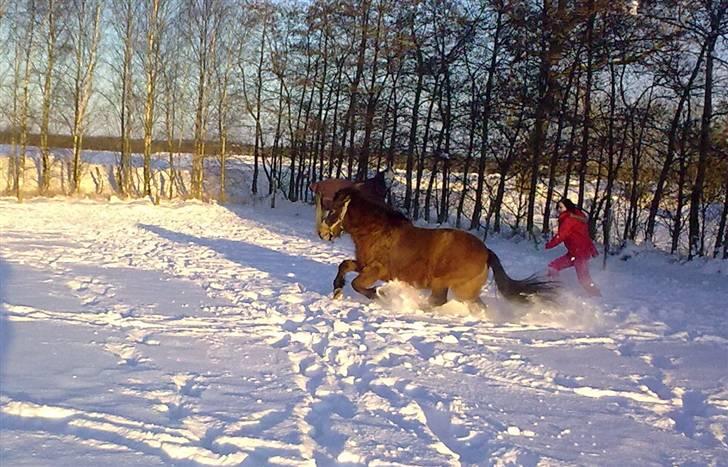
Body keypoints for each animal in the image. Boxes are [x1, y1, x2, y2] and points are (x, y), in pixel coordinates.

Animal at [320, 188, 556, 308]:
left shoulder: (375, 270)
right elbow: (344, 265)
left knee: (438, 301)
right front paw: (337, 289)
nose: (323, 233)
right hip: (465, 290)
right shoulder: (363, 264)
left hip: (445, 283)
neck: (378, 230)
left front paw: (379, 295)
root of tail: (486, 252)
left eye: (333, 210)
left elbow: (358, 285)